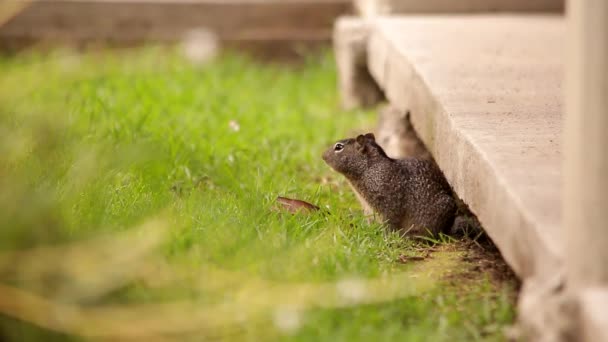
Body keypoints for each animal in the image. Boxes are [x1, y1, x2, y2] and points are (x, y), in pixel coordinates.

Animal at [324, 132, 456, 236]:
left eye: (339, 147)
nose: (323, 156)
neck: (370, 169)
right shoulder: (368, 208)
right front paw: (368, 230)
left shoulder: (388, 203)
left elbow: (390, 222)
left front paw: (386, 237)